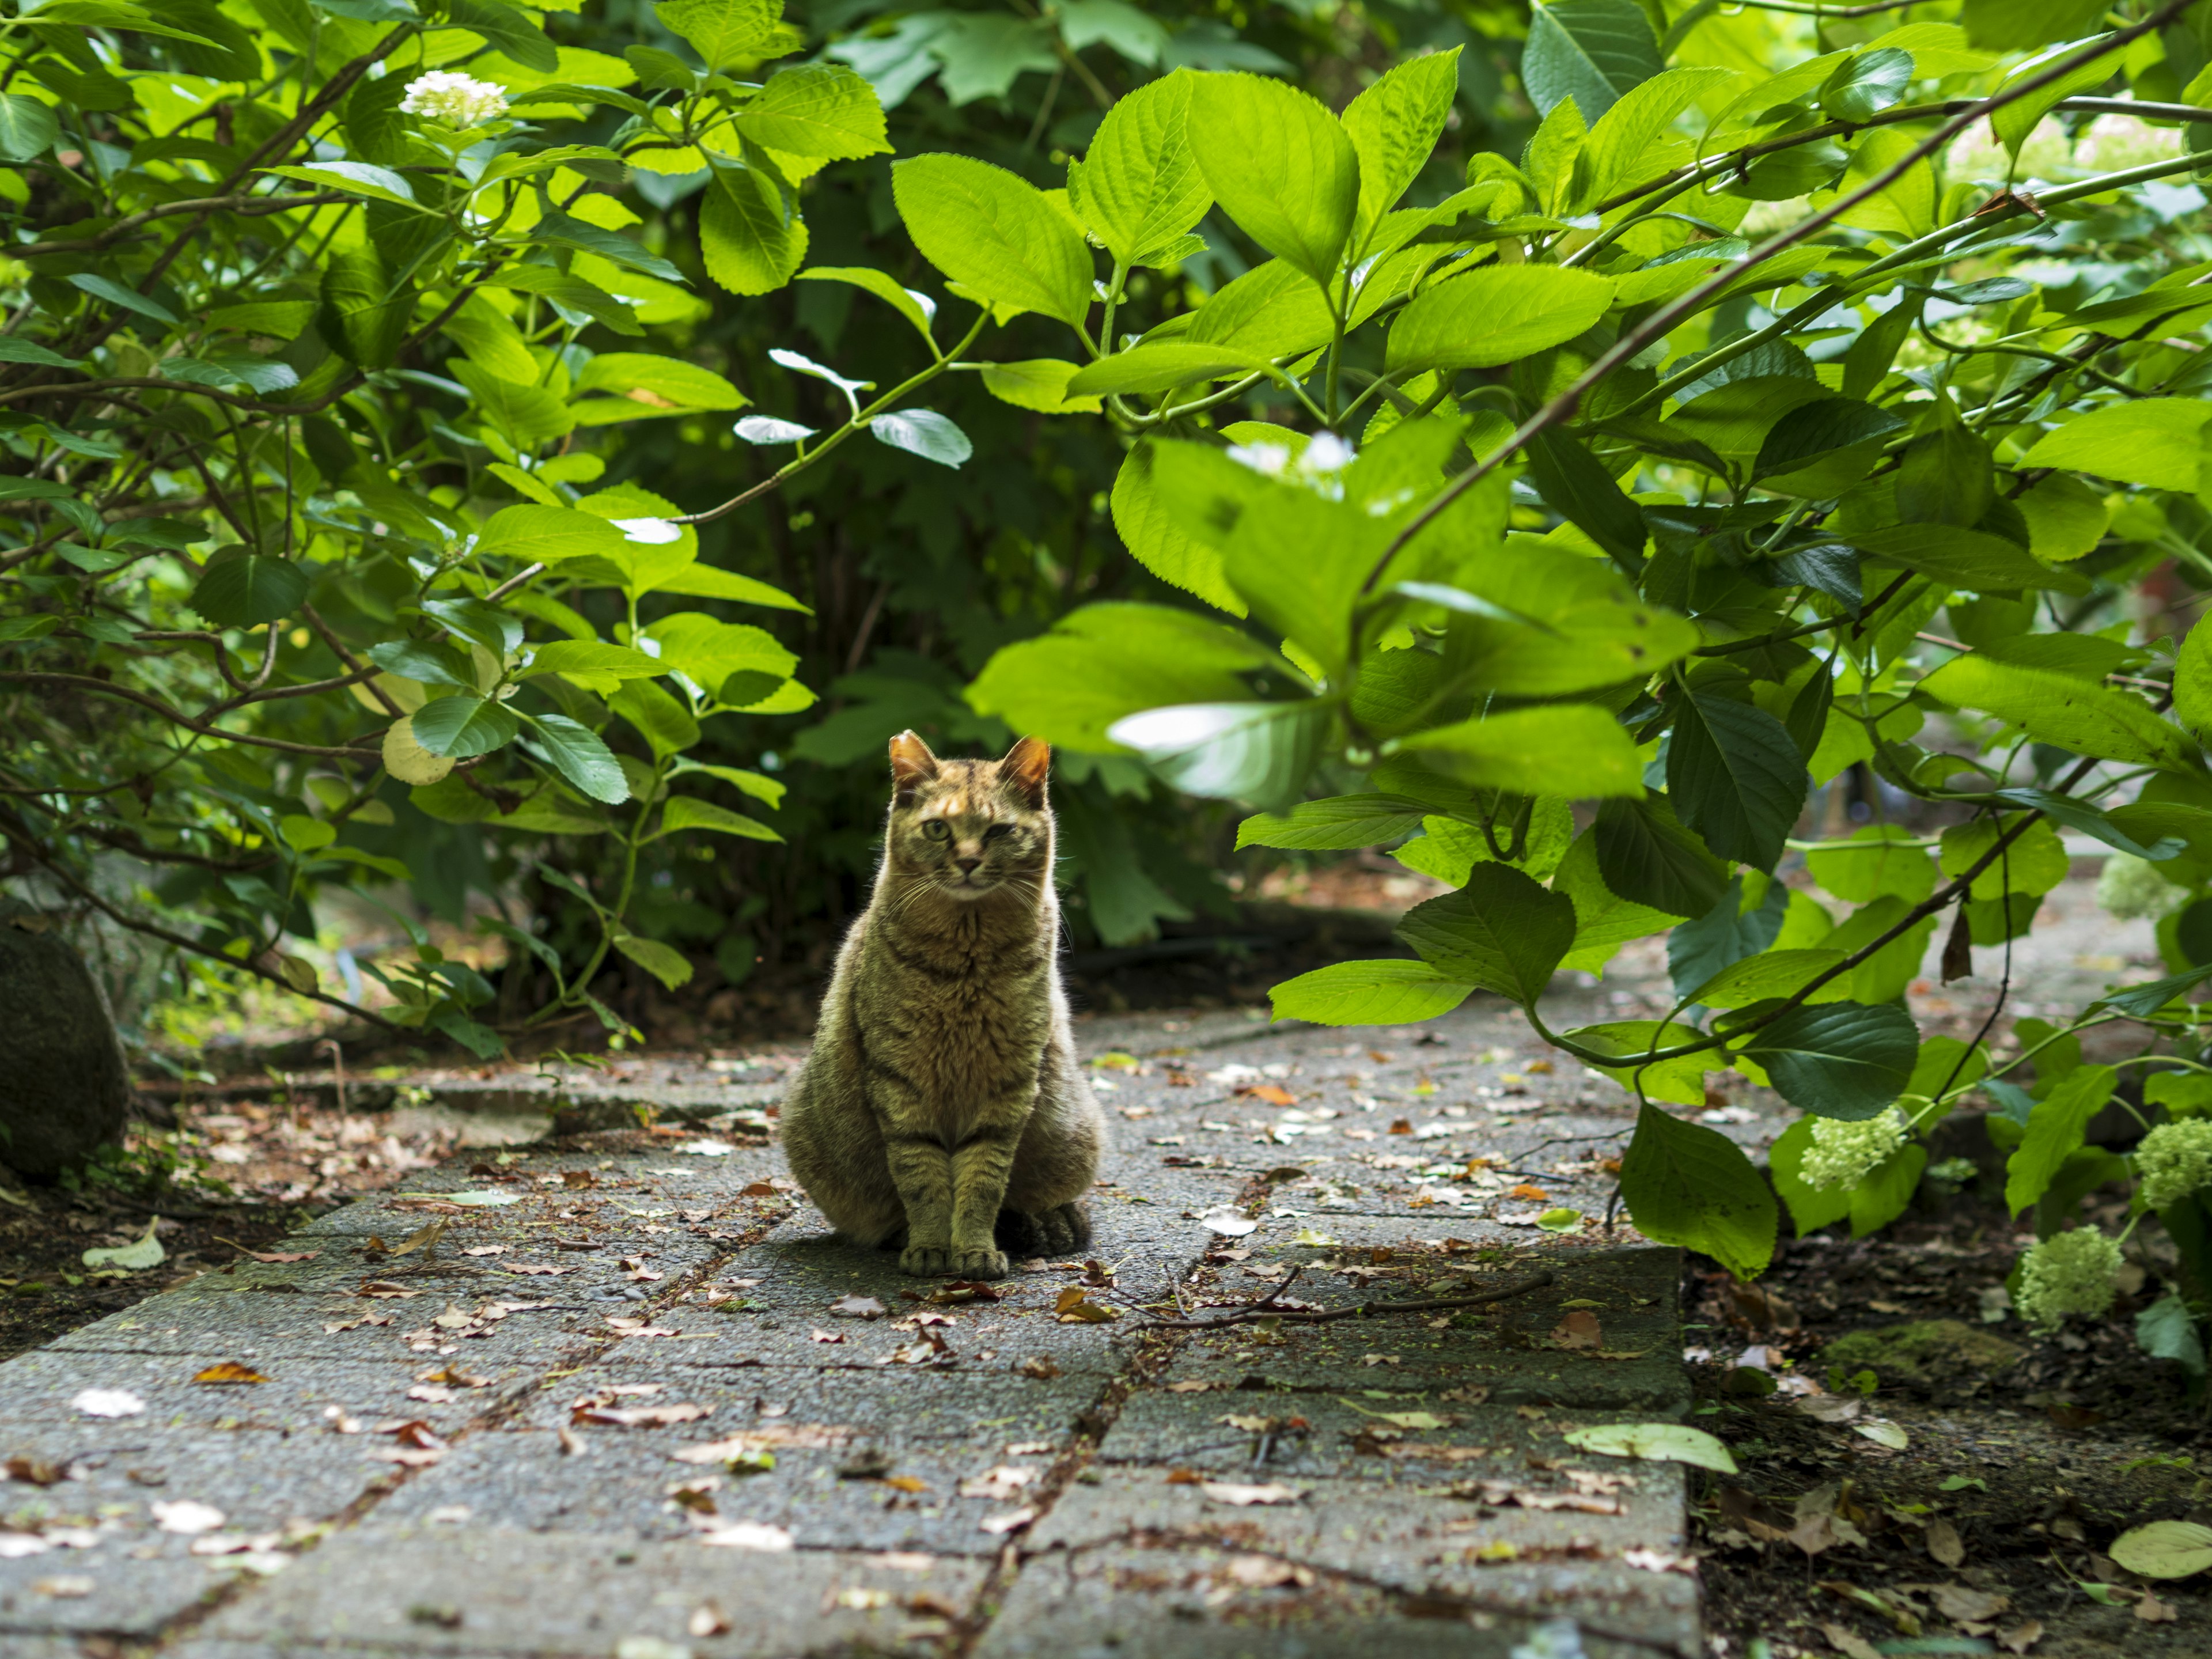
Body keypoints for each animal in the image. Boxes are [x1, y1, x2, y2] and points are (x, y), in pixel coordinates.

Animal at [778, 730, 1106, 1283]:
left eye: (999, 831)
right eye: (937, 829)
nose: (969, 861)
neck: (964, 959)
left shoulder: (1008, 1083)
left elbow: (982, 1182)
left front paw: (974, 1249)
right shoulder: (899, 1079)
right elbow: (922, 1177)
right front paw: (932, 1246)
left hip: (1071, 1132)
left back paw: (1049, 1221)